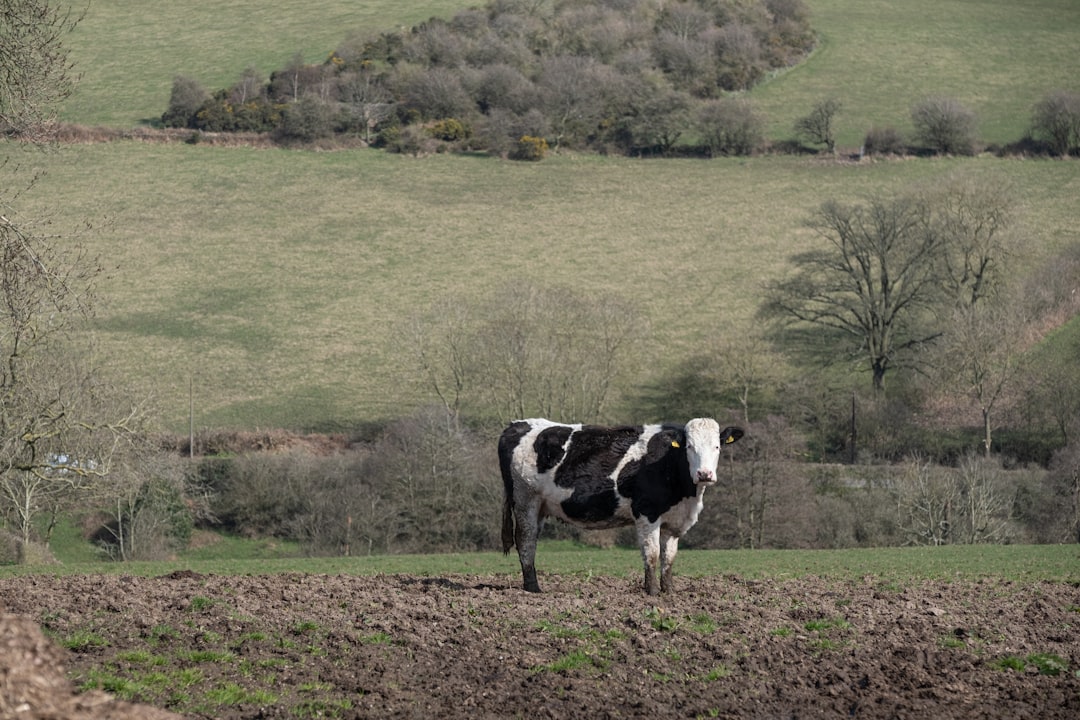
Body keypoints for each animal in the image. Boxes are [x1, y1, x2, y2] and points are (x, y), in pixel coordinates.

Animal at [498, 418, 743, 595]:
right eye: (689, 447)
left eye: (717, 446)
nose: (704, 474)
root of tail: (517, 424)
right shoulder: (647, 513)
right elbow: (652, 553)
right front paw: (652, 592)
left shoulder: (674, 522)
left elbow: (669, 558)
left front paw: (669, 591)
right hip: (525, 499)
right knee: (526, 540)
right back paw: (533, 589)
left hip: (540, 506)